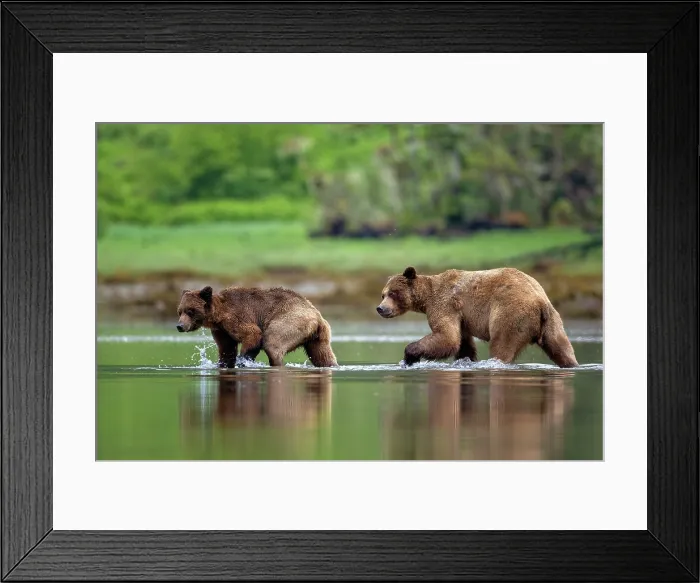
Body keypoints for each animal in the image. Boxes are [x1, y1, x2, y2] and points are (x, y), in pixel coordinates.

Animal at [176, 285, 338, 368]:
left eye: (190, 311)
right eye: (180, 311)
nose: (179, 326)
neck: (217, 316)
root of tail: (317, 316)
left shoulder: (235, 317)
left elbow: (253, 334)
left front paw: (243, 360)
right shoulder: (221, 330)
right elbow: (226, 349)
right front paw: (224, 363)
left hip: (290, 320)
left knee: (272, 343)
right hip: (318, 337)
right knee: (322, 354)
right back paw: (331, 365)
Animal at [376, 266, 579, 368]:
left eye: (393, 293)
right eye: (383, 294)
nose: (380, 308)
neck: (427, 298)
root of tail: (539, 301)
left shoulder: (445, 304)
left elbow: (447, 337)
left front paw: (410, 355)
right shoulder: (462, 317)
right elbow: (462, 343)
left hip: (509, 314)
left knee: (502, 345)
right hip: (553, 321)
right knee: (561, 347)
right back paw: (571, 364)